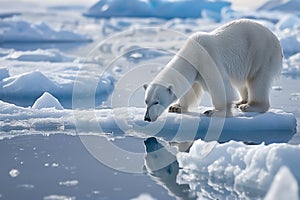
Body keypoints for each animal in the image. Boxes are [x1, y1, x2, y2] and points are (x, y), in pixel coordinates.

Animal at [144, 18, 282, 122]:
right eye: (146, 102)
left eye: (156, 102)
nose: (147, 118)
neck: (193, 53)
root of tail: (275, 38)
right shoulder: (195, 69)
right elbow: (190, 89)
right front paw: (176, 107)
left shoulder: (207, 59)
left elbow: (219, 86)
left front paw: (214, 111)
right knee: (242, 82)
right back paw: (241, 101)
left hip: (261, 54)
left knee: (257, 80)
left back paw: (249, 106)